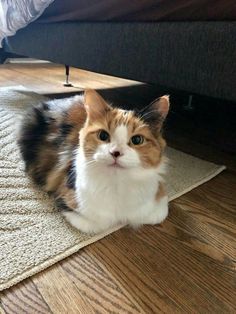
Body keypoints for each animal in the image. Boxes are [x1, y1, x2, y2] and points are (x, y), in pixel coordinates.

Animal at [18, 88, 170, 233]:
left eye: (137, 140)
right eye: (103, 135)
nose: (115, 152)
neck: (117, 181)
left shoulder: (159, 201)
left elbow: (158, 215)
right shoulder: (68, 202)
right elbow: (101, 224)